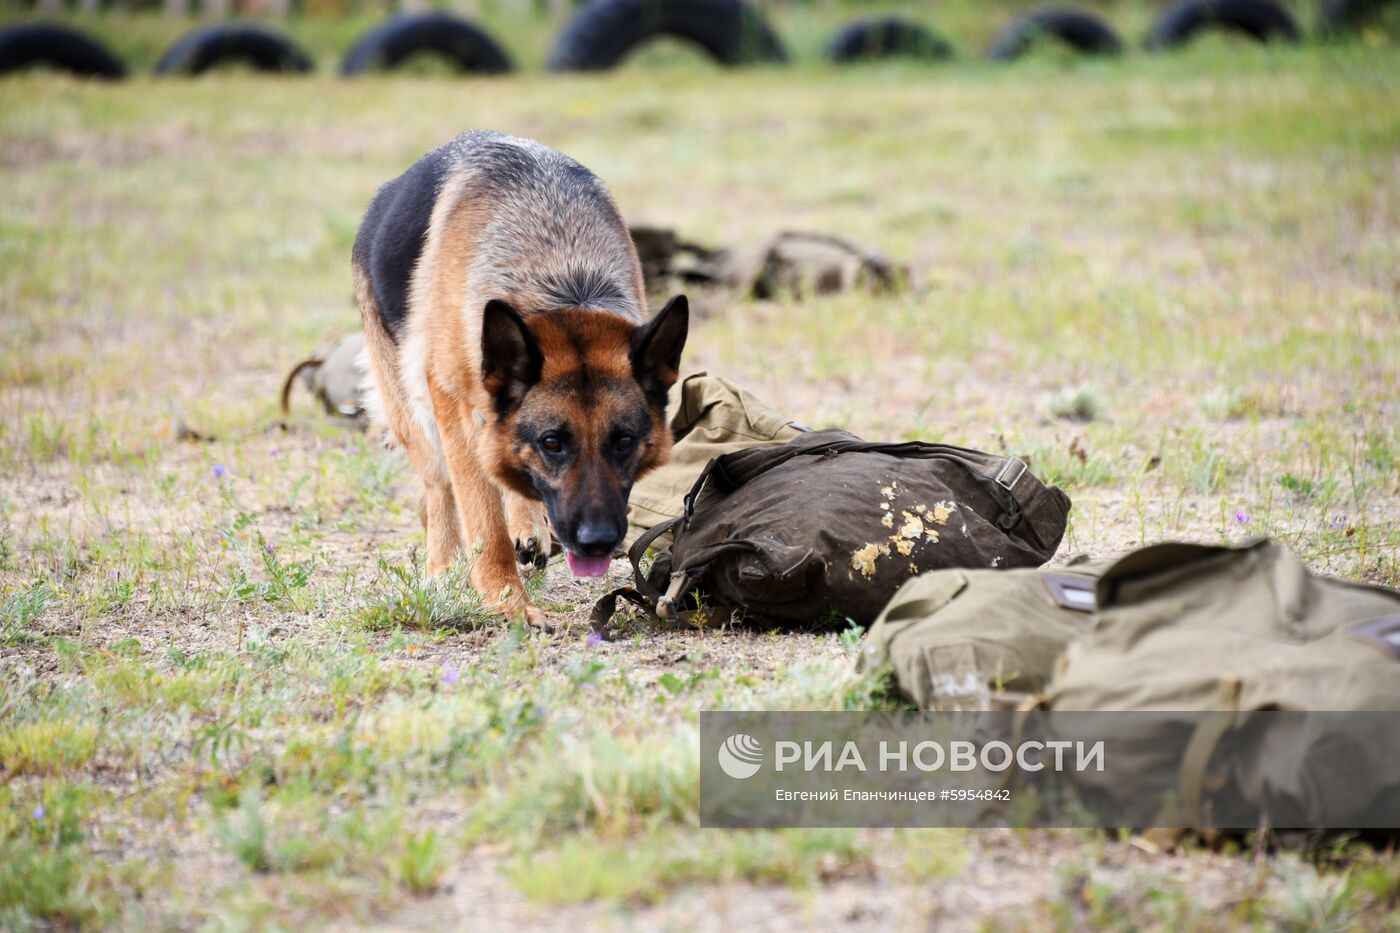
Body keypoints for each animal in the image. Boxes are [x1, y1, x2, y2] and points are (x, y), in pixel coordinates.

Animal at [355, 130, 688, 624]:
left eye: (624, 442)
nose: (597, 542)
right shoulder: (451, 401)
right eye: (553, 443)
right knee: (439, 487)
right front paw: (506, 599)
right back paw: (443, 567)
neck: (562, 276)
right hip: (415, 413)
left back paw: (526, 525)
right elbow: (481, 517)